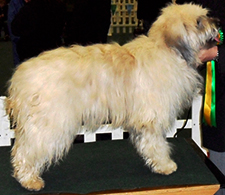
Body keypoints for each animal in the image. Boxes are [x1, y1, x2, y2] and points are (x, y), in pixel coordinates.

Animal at [4, 0, 220, 191]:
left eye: (205, 16)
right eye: (199, 22)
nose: (217, 22)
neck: (167, 50)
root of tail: (22, 76)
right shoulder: (151, 117)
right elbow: (156, 144)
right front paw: (165, 165)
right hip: (50, 122)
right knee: (27, 150)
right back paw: (29, 180)